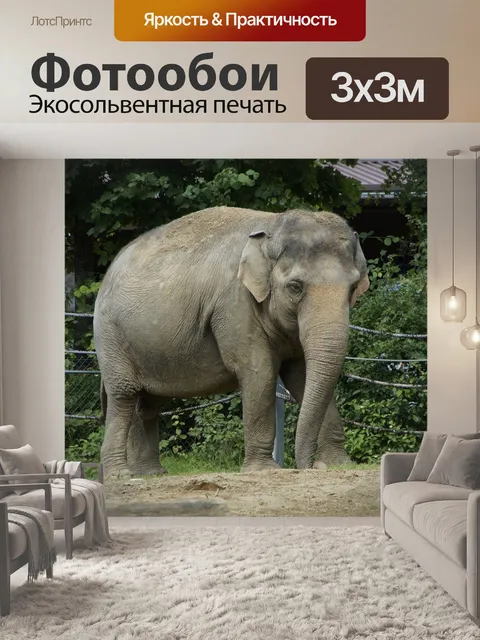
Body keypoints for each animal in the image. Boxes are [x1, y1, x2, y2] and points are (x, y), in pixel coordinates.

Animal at [93, 206, 370, 479]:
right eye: (295, 287)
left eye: (354, 287)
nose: (311, 466)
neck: (272, 225)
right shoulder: (234, 305)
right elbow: (260, 372)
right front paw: (264, 470)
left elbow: (299, 377)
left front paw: (339, 464)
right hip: (109, 334)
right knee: (124, 394)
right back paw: (121, 476)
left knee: (148, 403)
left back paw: (151, 474)